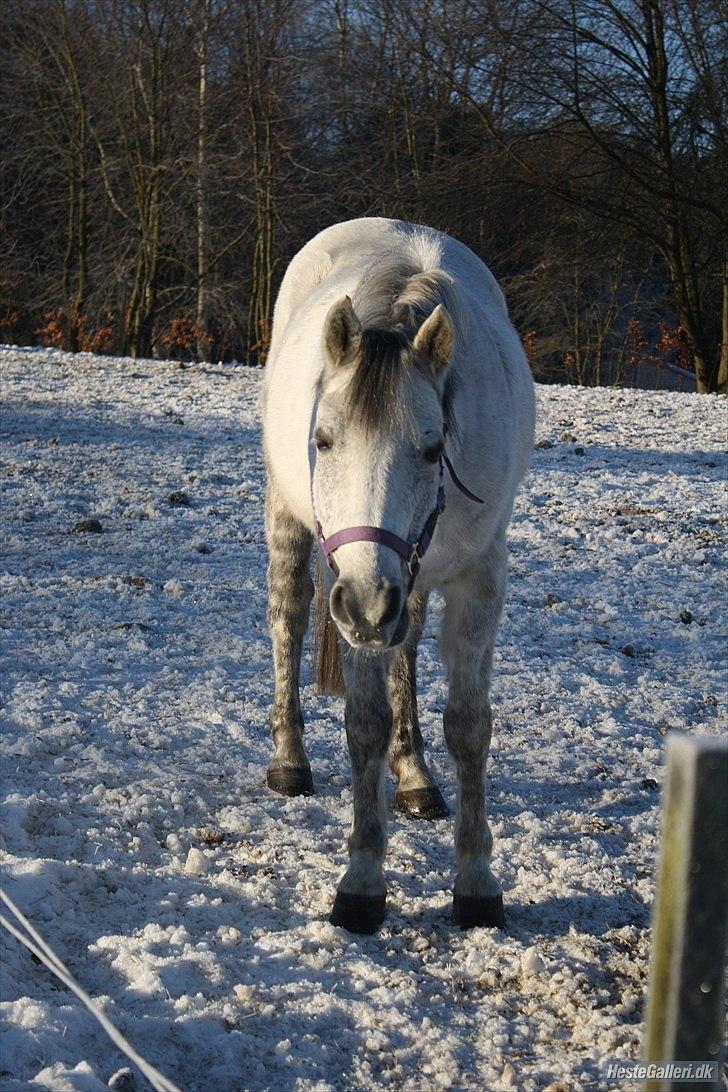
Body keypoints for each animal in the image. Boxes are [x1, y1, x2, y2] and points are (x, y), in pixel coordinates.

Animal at [261, 219, 534, 930]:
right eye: (324, 440)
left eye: (434, 447)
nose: (363, 603)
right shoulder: (350, 584)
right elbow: (365, 724)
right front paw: (361, 881)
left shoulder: (477, 579)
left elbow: (469, 726)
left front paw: (476, 881)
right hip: (291, 526)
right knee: (288, 619)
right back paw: (289, 761)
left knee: (404, 647)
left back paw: (414, 775)